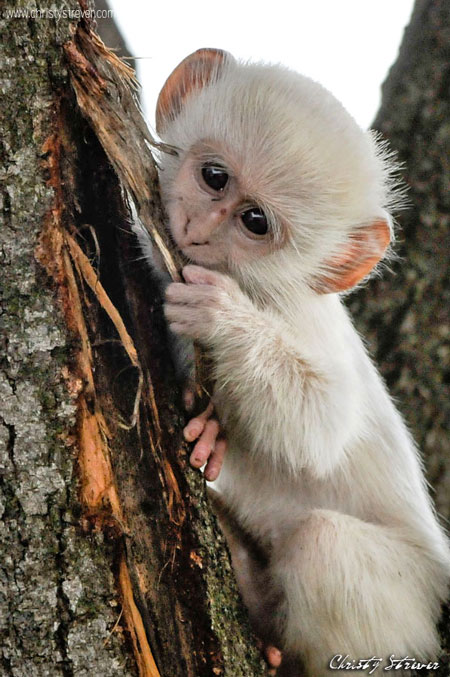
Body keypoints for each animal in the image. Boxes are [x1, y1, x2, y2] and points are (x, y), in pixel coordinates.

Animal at [149, 48, 450, 676]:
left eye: (255, 222)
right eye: (214, 177)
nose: (196, 231)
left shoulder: (297, 314)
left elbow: (321, 424)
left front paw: (221, 318)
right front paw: (211, 436)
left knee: (322, 544)